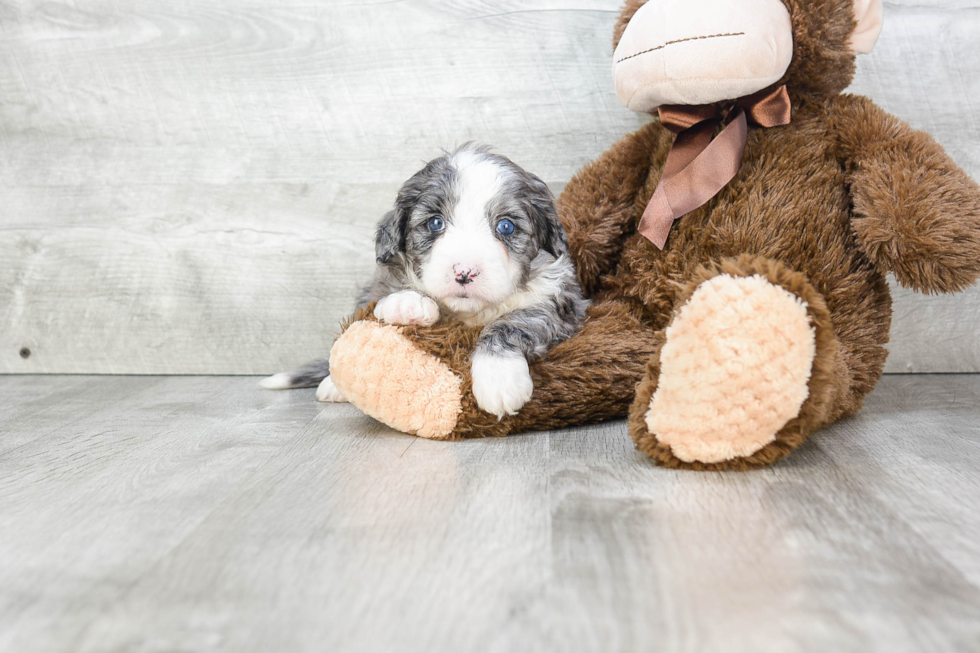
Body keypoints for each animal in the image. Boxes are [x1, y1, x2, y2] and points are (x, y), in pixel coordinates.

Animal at [258, 143, 588, 418]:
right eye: (435, 223)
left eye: (506, 226)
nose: (464, 272)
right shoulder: (378, 284)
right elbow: (395, 291)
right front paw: (408, 304)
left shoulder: (561, 303)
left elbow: (514, 321)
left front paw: (499, 378)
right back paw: (332, 385)